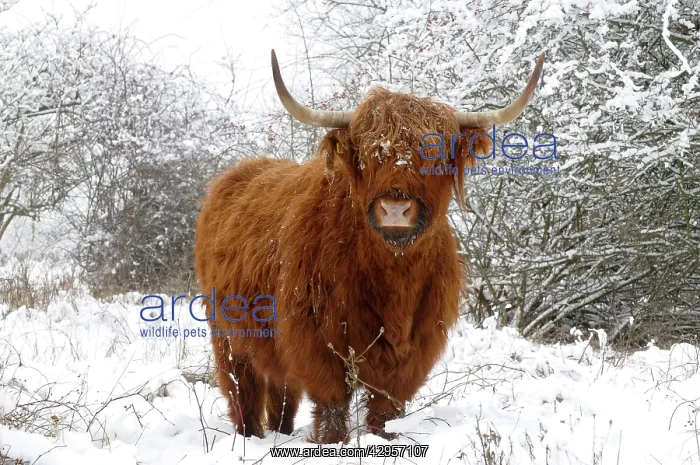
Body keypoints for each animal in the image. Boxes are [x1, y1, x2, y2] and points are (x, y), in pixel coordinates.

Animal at [193, 50, 545, 444]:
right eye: (368, 154)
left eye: (435, 155)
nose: (395, 208)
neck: (392, 275)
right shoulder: (315, 344)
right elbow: (332, 406)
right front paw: (332, 442)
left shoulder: (414, 351)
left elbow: (386, 411)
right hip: (227, 336)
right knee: (243, 391)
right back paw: (249, 436)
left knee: (283, 395)